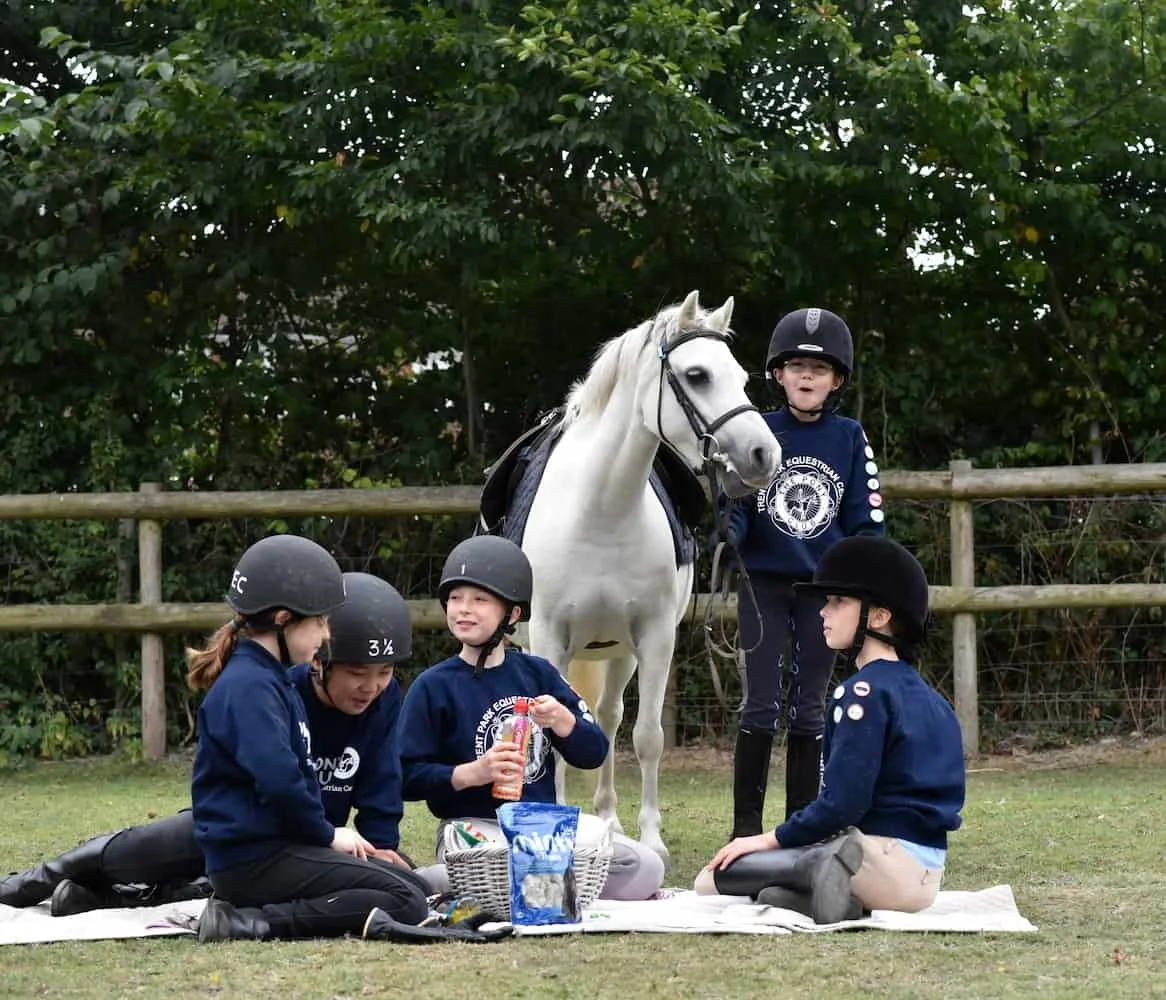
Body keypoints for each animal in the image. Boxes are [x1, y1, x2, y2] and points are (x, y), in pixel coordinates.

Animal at [518, 290, 782, 861]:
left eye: (741, 376)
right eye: (698, 374)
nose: (763, 455)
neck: (601, 508)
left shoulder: (656, 638)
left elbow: (647, 737)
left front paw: (651, 840)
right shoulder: (549, 639)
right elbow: (551, 734)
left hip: (618, 651)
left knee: (609, 718)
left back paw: (610, 822)